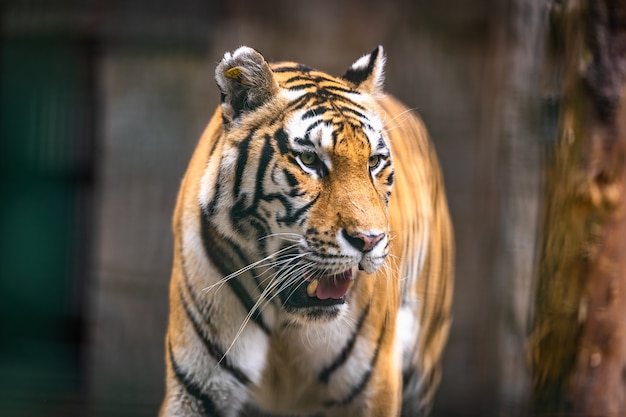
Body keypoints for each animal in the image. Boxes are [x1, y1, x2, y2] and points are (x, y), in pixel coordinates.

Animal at [160, 45, 454, 416]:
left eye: (373, 162)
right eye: (310, 161)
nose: (369, 241)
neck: (287, 321)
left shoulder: (374, 388)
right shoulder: (197, 388)